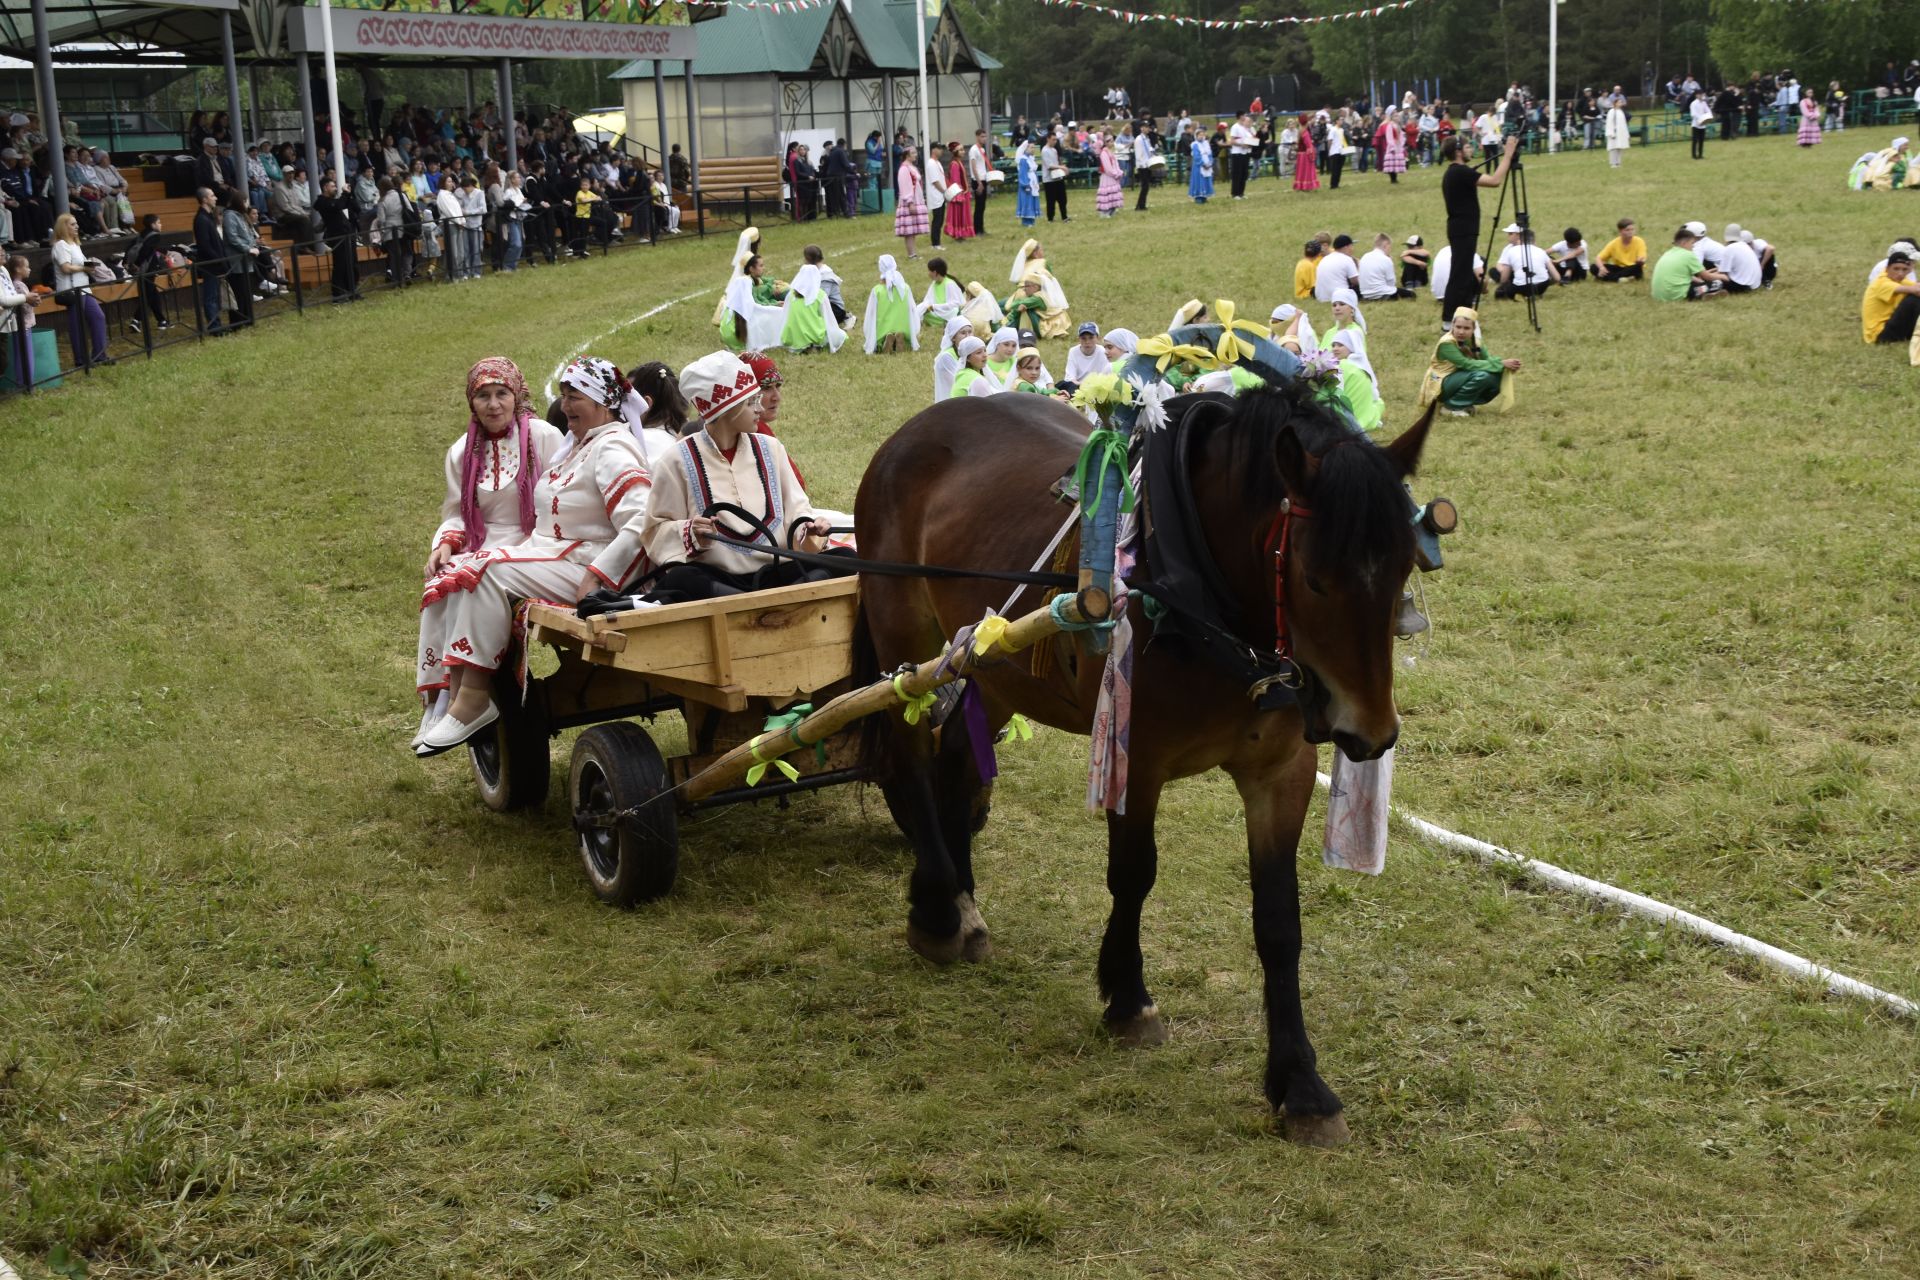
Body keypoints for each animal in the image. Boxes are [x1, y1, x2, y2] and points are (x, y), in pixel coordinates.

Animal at [852, 383, 1428, 1143]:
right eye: (1314, 578)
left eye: (1403, 569)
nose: (1370, 733)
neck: (1199, 593)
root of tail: (916, 428)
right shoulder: (1139, 760)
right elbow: (1133, 876)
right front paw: (1127, 997)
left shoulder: (1282, 773)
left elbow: (1279, 920)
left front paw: (1300, 1084)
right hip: (903, 634)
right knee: (913, 765)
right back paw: (942, 911)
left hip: (994, 659)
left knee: (958, 767)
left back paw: (955, 902)